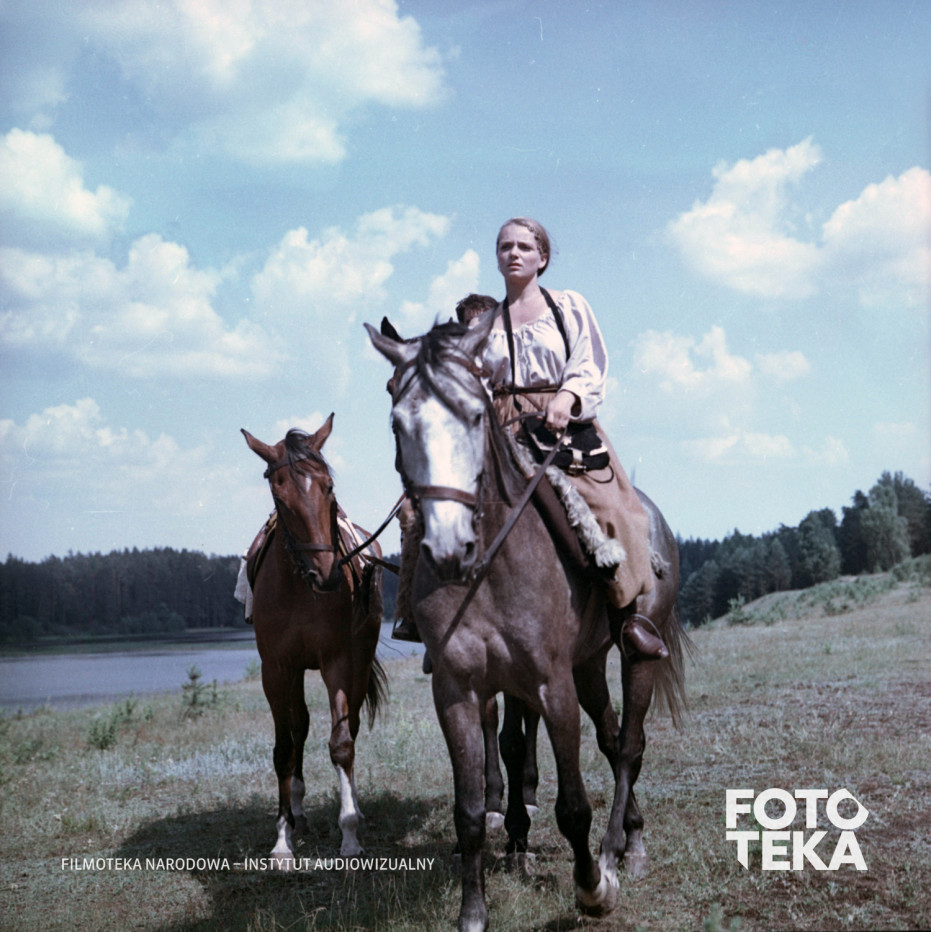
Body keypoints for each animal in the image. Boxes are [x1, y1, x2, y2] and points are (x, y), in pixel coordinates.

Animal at [241, 414, 387, 869]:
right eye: (279, 490)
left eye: (328, 486)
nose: (328, 573)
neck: (301, 587)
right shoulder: (276, 669)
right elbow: (284, 747)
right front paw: (282, 839)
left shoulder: (338, 661)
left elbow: (342, 744)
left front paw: (350, 834)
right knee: (299, 726)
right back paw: (298, 810)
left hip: (359, 659)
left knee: (349, 726)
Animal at [366, 317, 689, 932]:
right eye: (397, 422)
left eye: (474, 415)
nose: (449, 547)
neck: (488, 570)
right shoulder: (459, 691)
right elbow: (469, 810)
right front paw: (473, 913)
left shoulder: (549, 684)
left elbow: (573, 807)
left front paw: (593, 889)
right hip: (589, 666)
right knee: (611, 737)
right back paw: (626, 836)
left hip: (635, 653)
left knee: (630, 744)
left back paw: (622, 850)